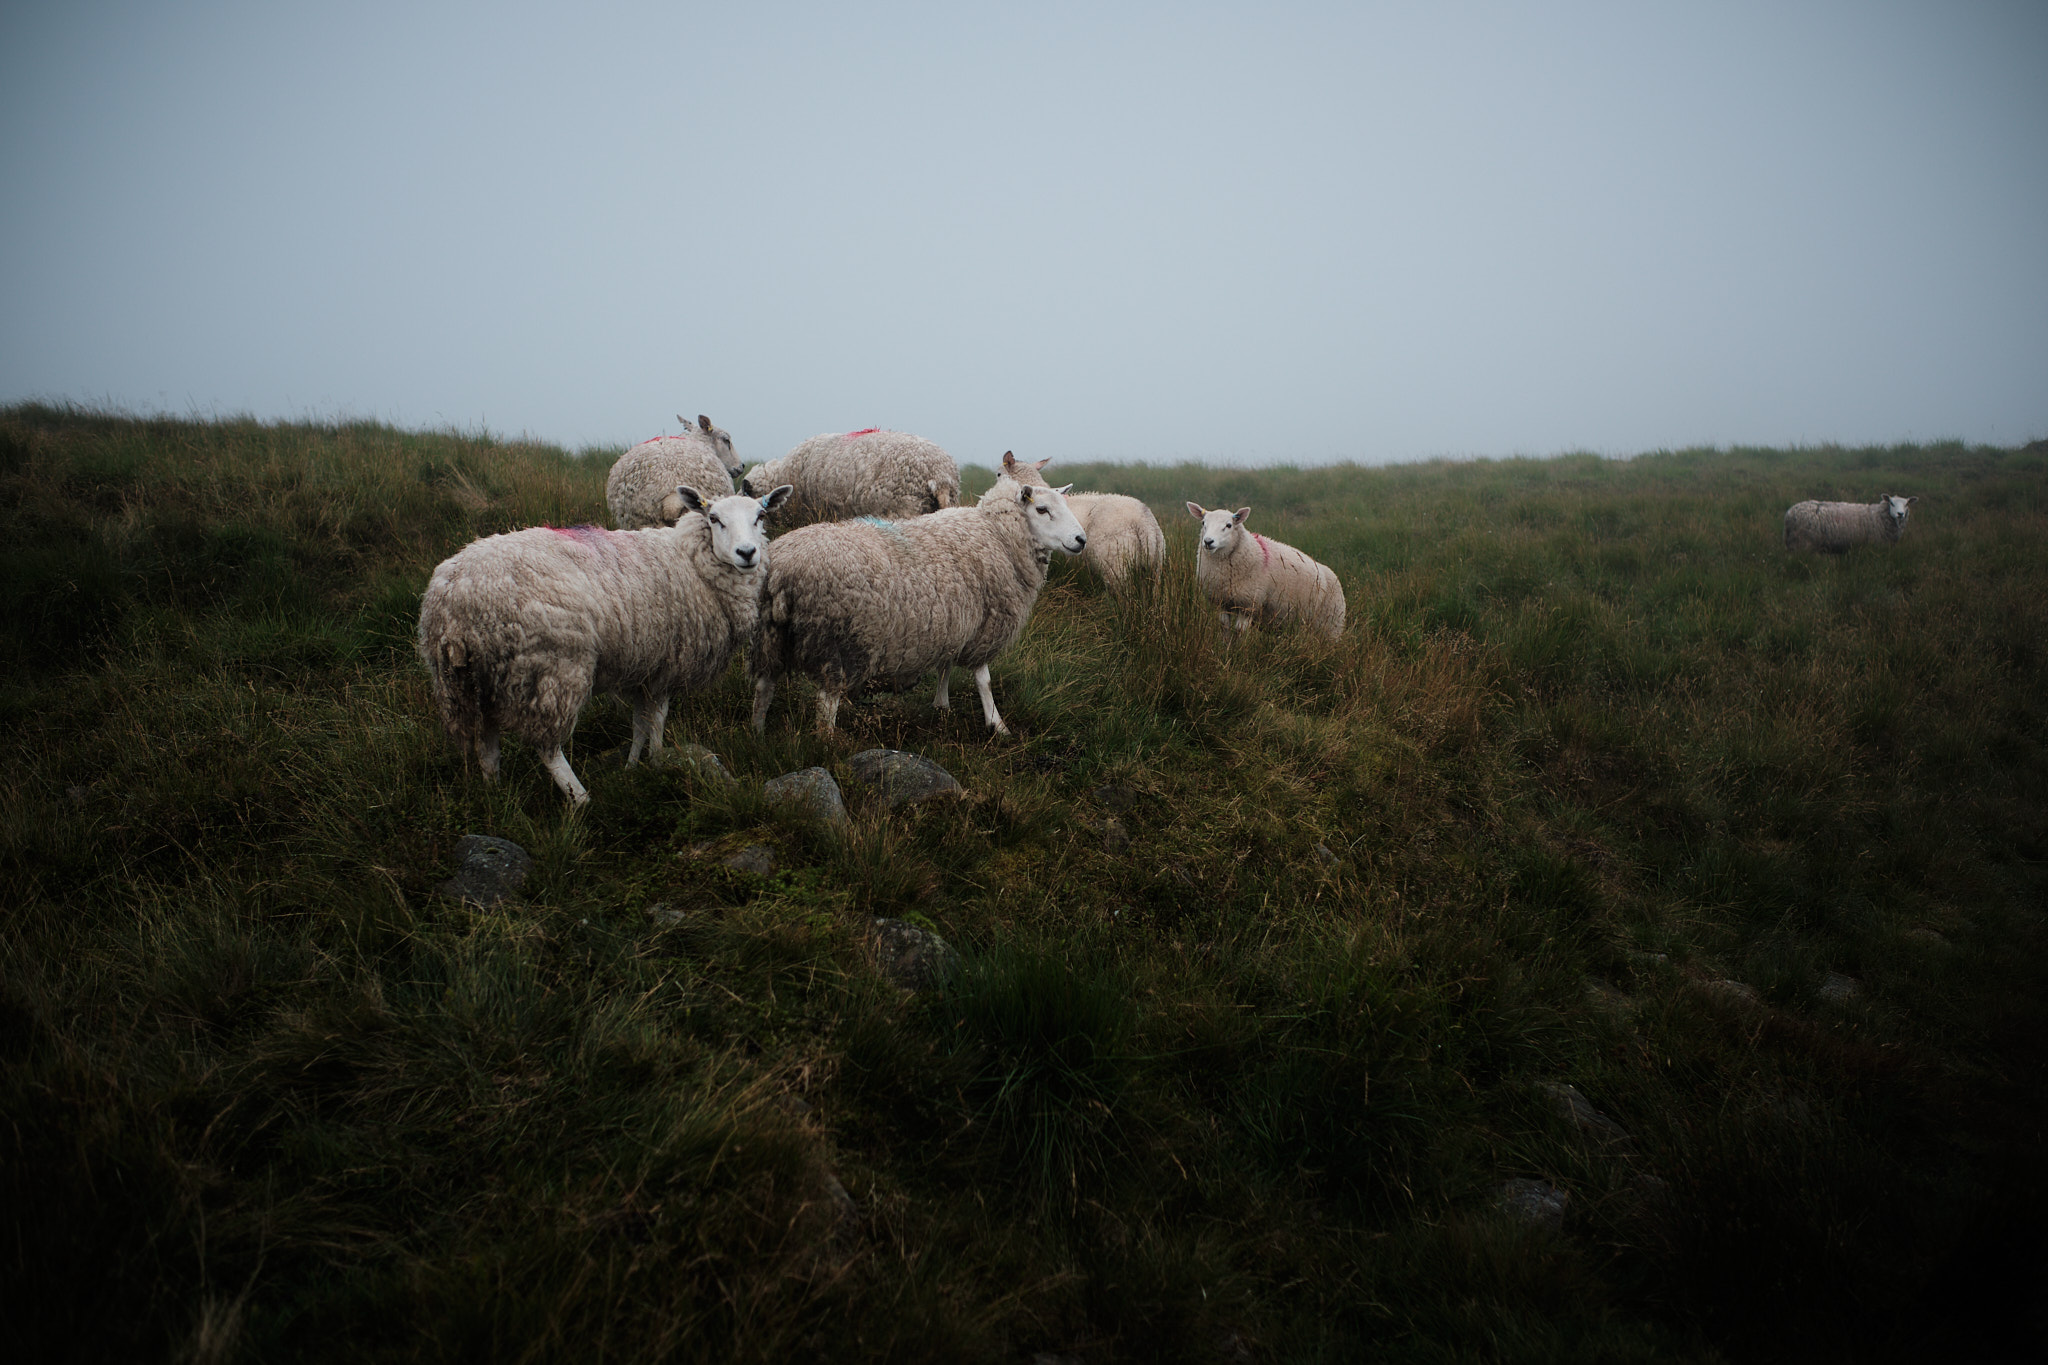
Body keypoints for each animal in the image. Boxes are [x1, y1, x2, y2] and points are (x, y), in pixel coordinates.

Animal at [419, 482, 794, 804]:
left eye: (760, 517)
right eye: (714, 519)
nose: (747, 553)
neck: (692, 562)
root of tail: (454, 598)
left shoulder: (644, 666)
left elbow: (640, 723)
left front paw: (633, 767)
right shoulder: (668, 664)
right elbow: (657, 720)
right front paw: (658, 763)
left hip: (471, 683)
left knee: (486, 745)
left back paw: (493, 793)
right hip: (551, 667)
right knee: (547, 748)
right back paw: (581, 799)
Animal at [750, 471, 1086, 735]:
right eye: (1042, 509)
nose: (1081, 540)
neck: (998, 536)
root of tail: (782, 570)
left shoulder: (953, 618)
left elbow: (945, 665)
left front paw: (942, 705)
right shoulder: (985, 624)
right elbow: (984, 680)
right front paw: (997, 724)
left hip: (770, 636)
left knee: (763, 688)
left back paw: (758, 735)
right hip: (837, 642)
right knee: (825, 704)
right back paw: (828, 744)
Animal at [1185, 502, 1345, 640]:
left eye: (1229, 525)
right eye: (1203, 523)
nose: (1208, 542)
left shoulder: (1248, 603)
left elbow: (1240, 632)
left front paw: (1238, 653)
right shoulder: (1221, 602)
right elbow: (1224, 628)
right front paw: (1225, 650)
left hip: (1331, 625)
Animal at [1783, 495, 1917, 553]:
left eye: (1906, 504)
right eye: (1891, 503)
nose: (1900, 514)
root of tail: (1789, 513)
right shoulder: (1876, 545)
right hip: (1803, 542)